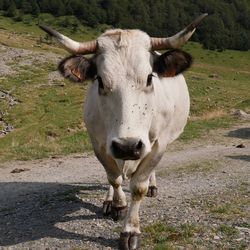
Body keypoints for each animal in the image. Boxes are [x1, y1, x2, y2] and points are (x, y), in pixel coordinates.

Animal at [39, 14, 207, 250]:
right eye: (100, 80)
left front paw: (130, 230)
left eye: (149, 78)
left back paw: (153, 186)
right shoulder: (100, 143)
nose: (128, 146)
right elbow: (113, 177)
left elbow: (138, 187)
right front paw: (117, 204)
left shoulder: (158, 144)